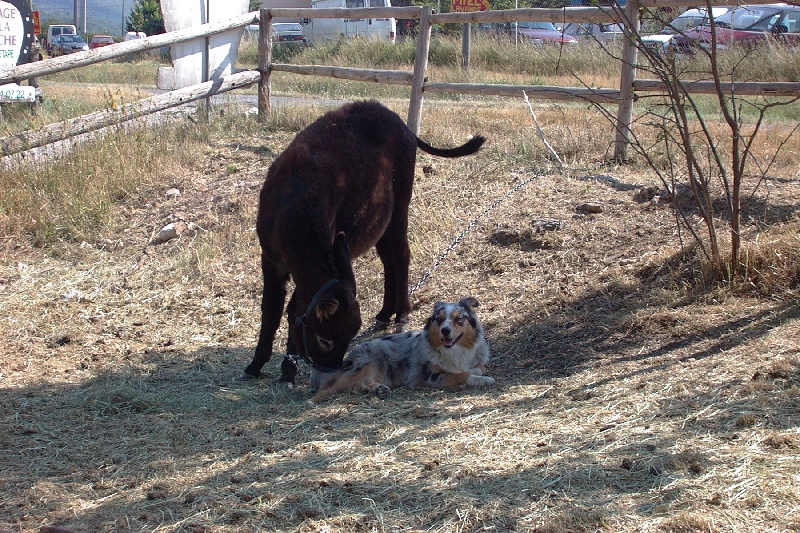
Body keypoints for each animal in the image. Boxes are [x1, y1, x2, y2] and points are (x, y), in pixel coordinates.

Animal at [310, 296, 494, 404]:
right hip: (363, 367)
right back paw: (314, 400)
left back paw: (377, 389)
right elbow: (461, 375)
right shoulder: (427, 377)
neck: (454, 350)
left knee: (356, 387)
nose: (445, 331)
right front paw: (483, 380)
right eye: (439, 320)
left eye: (458, 319)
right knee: (330, 387)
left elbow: (478, 367)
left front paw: (479, 373)